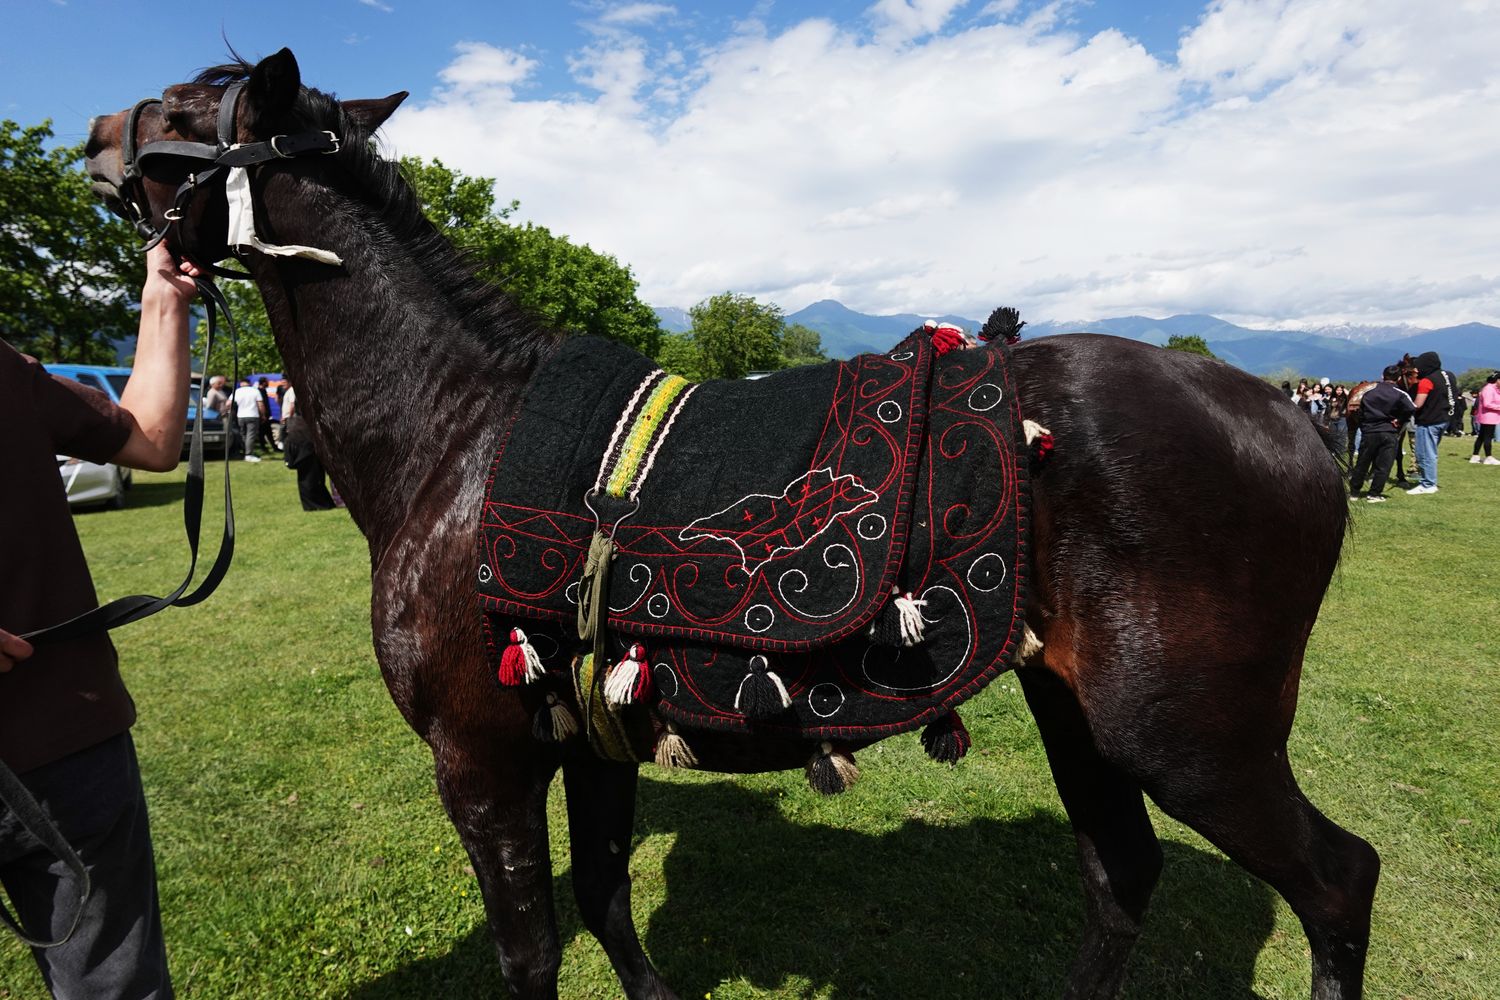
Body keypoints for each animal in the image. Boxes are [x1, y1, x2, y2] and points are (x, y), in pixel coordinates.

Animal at [83, 49, 1379, 1000]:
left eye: (189, 104)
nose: (94, 131)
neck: (453, 433)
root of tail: (1287, 415)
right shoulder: (588, 740)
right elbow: (605, 897)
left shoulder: (481, 761)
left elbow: (531, 949)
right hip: (1083, 712)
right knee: (1123, 875)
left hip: (1188, 734)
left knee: (1337, 881)